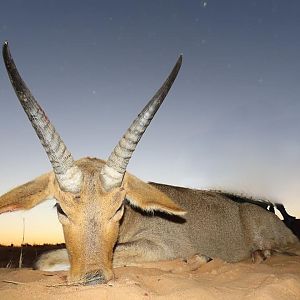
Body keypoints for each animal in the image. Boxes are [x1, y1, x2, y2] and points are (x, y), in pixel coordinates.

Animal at [1, 41, 298, 284]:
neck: (133, 218)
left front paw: (197, 258)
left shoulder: (162, 247)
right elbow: (44, 260)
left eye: (119, 208)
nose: (93, 277)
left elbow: (54, 258)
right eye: (61, 209)